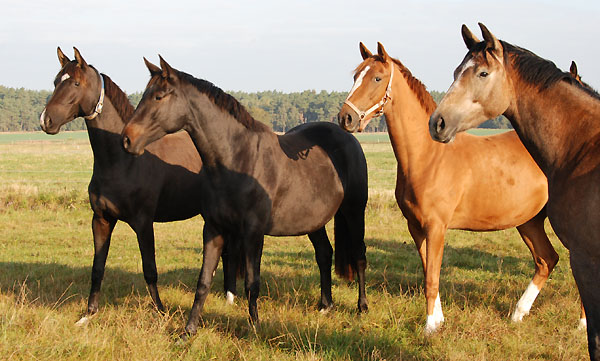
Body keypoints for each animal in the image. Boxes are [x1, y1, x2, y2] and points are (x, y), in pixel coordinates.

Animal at [120, 56, 370, 334]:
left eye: (159, 97)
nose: (127, 139)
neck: (237, 160)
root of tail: (347, 137)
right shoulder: (213, 229)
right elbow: (203, 281)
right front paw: (189, 330)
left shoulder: (253, 233)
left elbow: (252, 282)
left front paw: (255, 327)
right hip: (313, 221)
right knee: (324, 254)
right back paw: (325, 305)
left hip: (354, 211)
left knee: (359, 255)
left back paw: (362, 307)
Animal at [338, 41, 572, 332]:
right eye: (355, 77)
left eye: (377, 78)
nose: (345, 118)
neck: (429, 157)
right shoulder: (416, 228)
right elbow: (429, 272)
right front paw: (438, 321)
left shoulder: (437, 227)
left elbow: (432, 278)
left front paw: (429, 328)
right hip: (529, 221)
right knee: (546, 259)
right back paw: (518, 314)